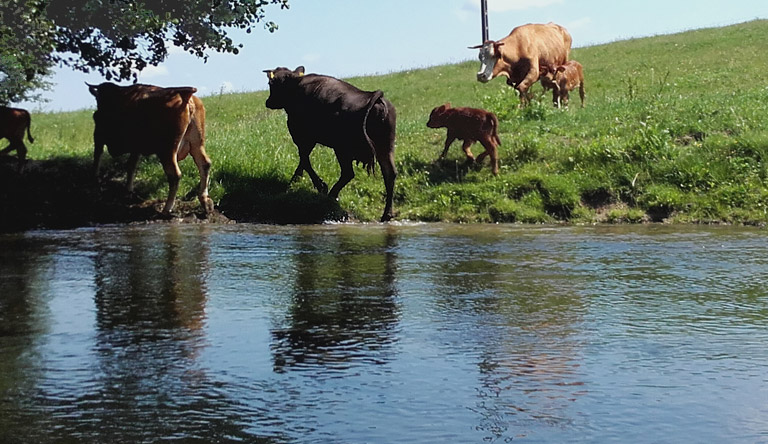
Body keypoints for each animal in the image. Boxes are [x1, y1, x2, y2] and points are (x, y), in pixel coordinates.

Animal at [88, 83, 213, 217]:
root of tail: (186, 96)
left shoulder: (99, 137)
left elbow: (97, 158)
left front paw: (94, 178)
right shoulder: (135, 148)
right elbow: (131, 166)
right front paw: (128, 190)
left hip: (167, 150)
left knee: (175, 174)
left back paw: (167, 208)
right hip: (197, 144)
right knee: (205, 164)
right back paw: (205, 201)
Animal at [262, 65, 396, 222]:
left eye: (271, 84)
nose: (268, 102)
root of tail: (374, 97)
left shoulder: (303, 137)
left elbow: (304, 159)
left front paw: (319, 185)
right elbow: (303, 161)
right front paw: (294, 181)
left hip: (342, 148)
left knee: (348, 173)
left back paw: (331, 195)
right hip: (385, 148)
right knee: (390, 174)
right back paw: (386, 214)